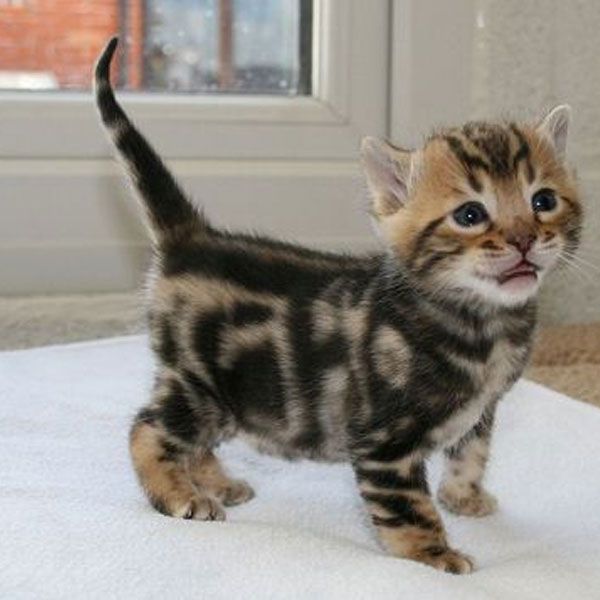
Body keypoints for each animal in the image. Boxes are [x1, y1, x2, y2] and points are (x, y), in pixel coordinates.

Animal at [95, 39, 580, 576]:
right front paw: (434, 555)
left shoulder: (482, 410)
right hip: (202, 384)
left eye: (543, 201)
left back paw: (216, 481)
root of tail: (191, 239)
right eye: (470, 214)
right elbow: (407, 507)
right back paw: (181, 494)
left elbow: (471, 452)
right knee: (146, 429)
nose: (524, 240)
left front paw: (464, 496)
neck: (484, 324)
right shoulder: (384, 443)